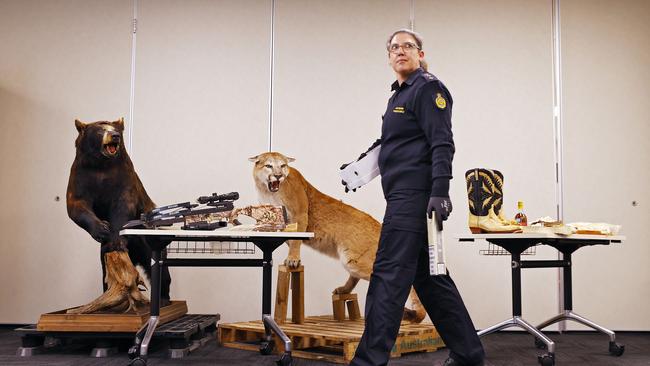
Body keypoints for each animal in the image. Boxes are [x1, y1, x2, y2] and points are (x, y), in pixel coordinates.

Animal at [66, 118, 170, 314]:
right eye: (100, 129)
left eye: (115, 129)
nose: (114, 136)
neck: (102, 166)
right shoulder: (81, 177)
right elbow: (76, 205)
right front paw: (101, 229)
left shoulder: (123, 178)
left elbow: (123, 206)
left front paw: (117, 238)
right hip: (104, 254)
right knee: (105, 273)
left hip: (148, 242)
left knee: (159, 269)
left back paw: (164, 299)